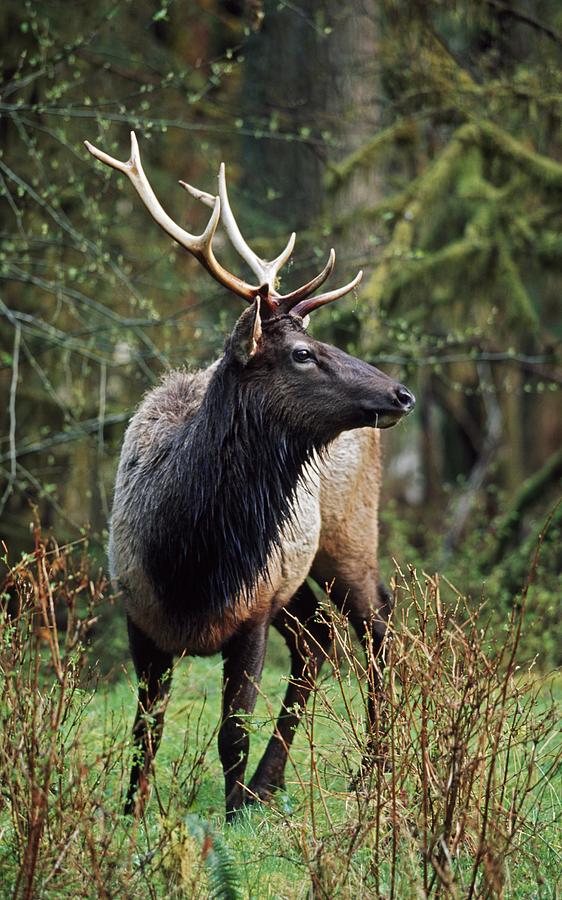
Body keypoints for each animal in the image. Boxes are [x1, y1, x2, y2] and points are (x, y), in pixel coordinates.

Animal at [84, 132, 416, 816]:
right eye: (303, 352)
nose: (401, 394)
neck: (189, 558)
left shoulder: (252, 610)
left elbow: (230, 731)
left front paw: (233, 812)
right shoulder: (137, 609)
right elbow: (144, 728)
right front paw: (131, 812)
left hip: (347, 536)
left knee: (376, 624)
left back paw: (371, 772)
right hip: (297, 571)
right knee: (318, 639)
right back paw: (275, 780)